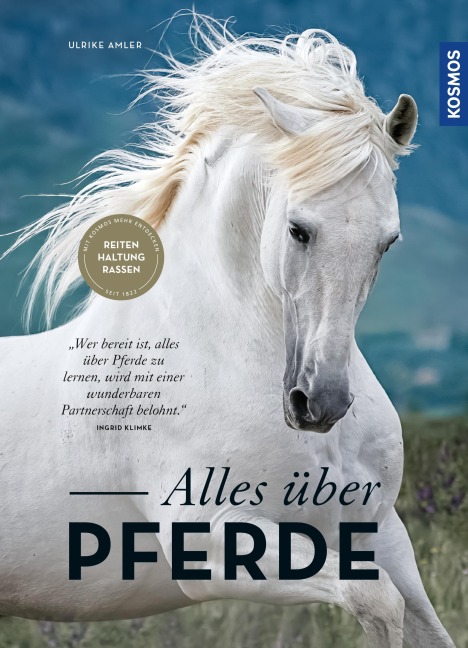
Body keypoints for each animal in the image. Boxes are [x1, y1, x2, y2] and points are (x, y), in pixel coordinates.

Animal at [0, 16, 456, 648]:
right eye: (297, 229)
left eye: (388, 241)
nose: (321, 403)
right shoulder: (213, 543)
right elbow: (375, 600)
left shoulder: (382, 532)